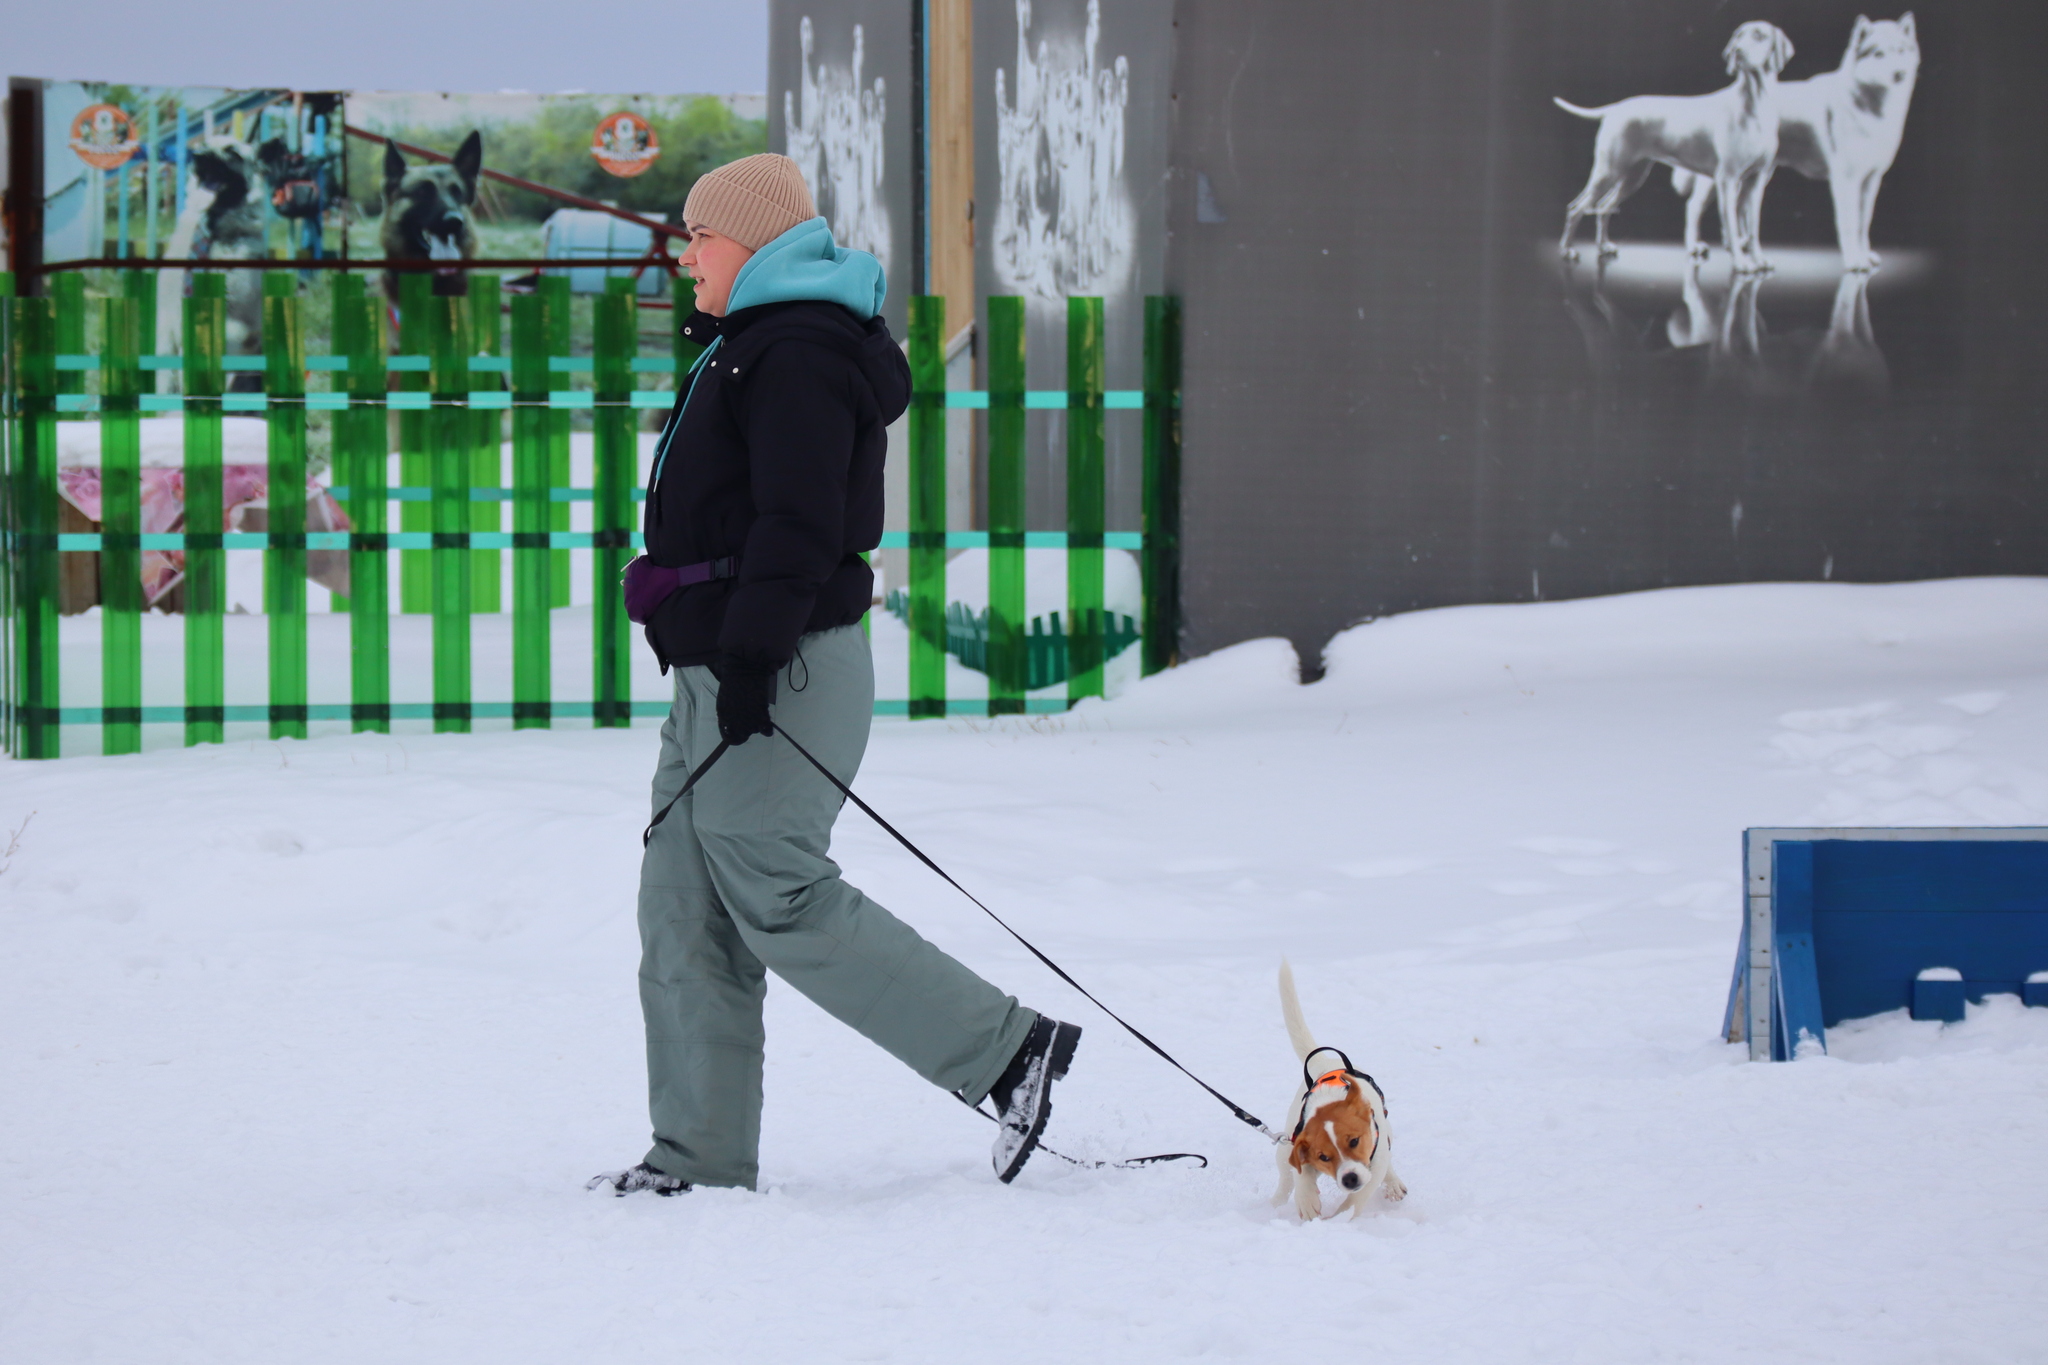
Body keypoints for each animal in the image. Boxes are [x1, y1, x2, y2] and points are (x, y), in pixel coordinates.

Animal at [1269, 957, 1400, 1219]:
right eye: (1324, 1156)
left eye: (1354, 1141)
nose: (1349, 1178)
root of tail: (1324, 1061)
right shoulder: (1298, 1147)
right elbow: (1301, 1174)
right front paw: (1307, 1201)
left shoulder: (1374, 1163)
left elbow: (1358, 1197)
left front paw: (1340, 1219)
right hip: (1283, 1149)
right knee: (1285, 1179)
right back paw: (1273, 1204)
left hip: (1386, 1134)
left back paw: (1393, 1184)